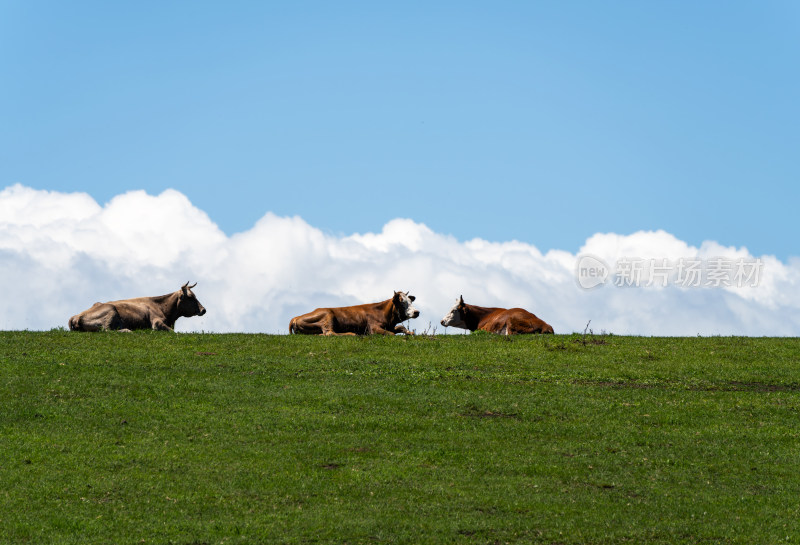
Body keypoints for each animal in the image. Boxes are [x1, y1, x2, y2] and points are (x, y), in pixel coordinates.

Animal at [68, 280, 206, 332]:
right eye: (190, 297)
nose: (203, 310)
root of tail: (76, 316)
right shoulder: (156, 322)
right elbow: (172, 331)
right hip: (111, 310)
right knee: (107, 330)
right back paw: (127, 330)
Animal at [290, 292, 422, 334]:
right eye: (401, 303)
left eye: (410, 301)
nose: (417, 312)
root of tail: (295, 318)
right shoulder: (373, 328)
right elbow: (391, 334)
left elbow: (400, 328)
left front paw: (410, 333)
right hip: (328, 315)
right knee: (329, 333)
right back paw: (351, 334)